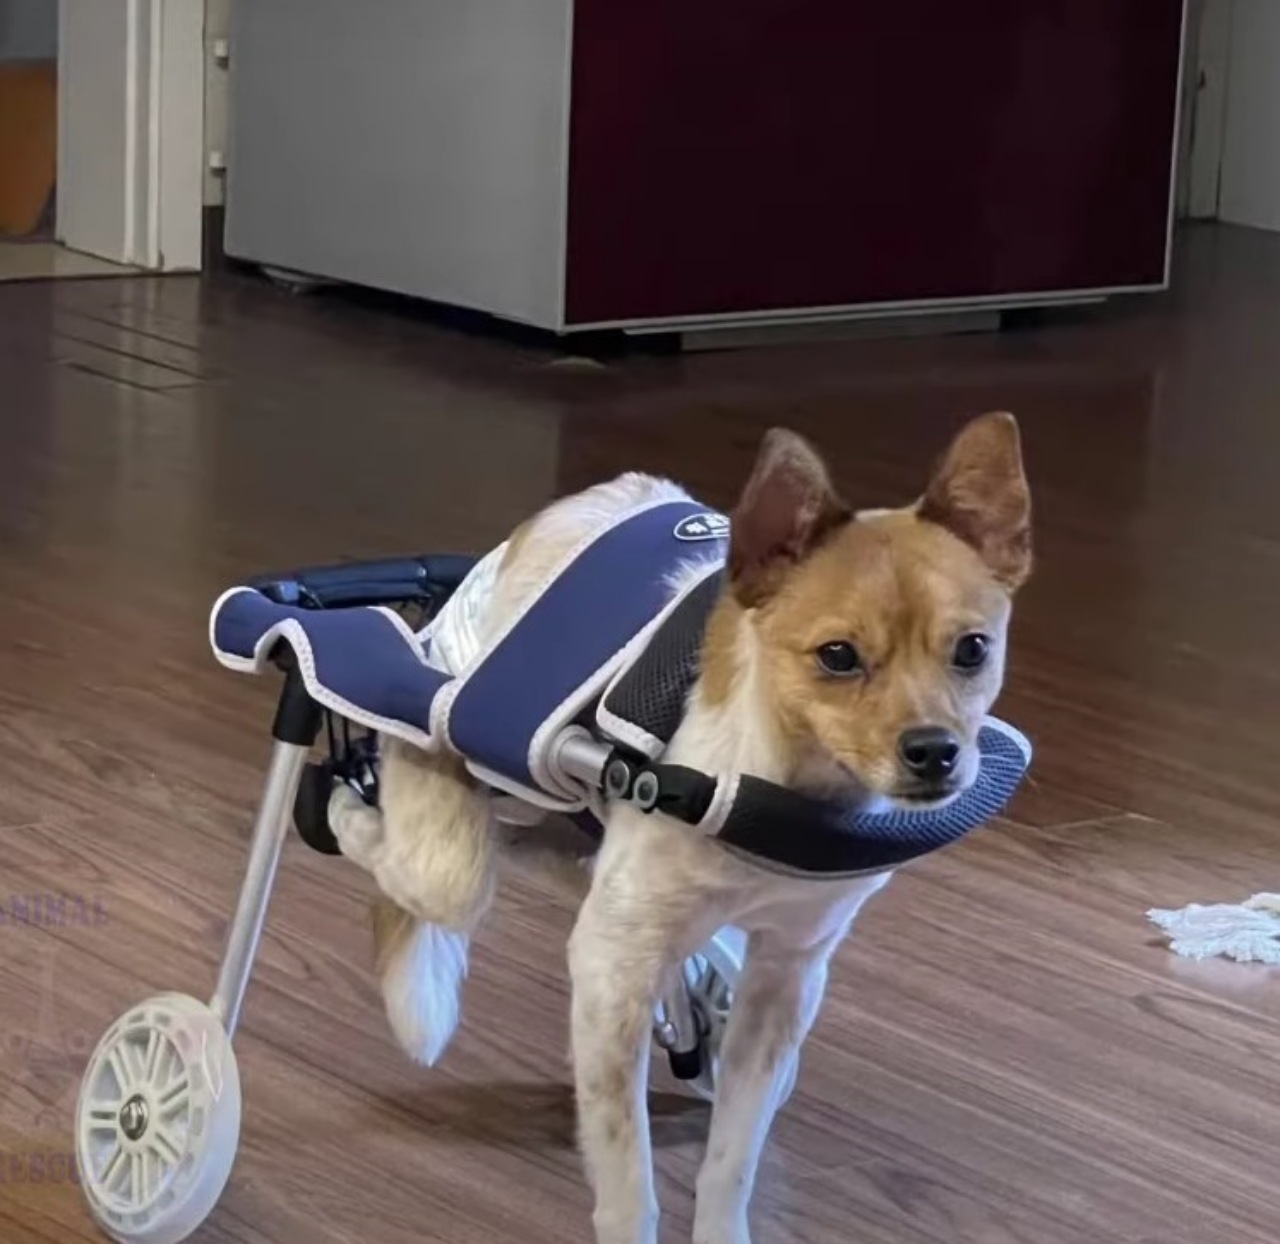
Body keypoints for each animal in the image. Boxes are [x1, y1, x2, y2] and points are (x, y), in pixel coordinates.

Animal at [327, 412, 1029, 1244]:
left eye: (973, 649)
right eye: (838, 656)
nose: (936, 753)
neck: (779, 782)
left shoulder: (786, 981)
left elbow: (732, 1159)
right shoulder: (610, 977)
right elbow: (627, 1180)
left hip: (574, 842)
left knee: (538, 853)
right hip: (449, 839)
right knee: (415, 860)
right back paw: (346, 802)